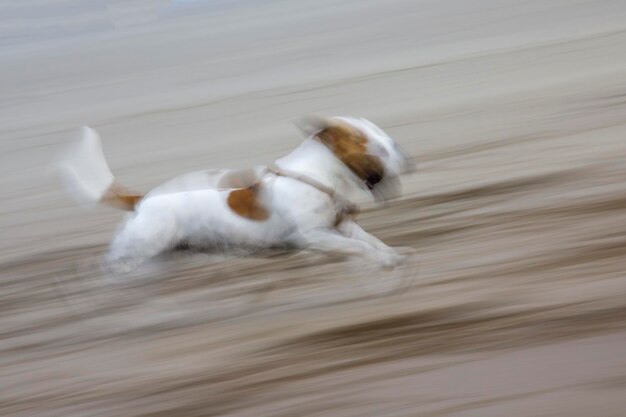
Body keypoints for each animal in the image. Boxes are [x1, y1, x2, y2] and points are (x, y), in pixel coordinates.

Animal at [59, 116, 414, 272]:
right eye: (378, 146)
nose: (407, 156)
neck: (314, 175)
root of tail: (142, 200)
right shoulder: (316, 235)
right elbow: (360, 248)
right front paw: (381, 260)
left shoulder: (342, 225)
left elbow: (369, 240)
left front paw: (392, 254)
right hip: (142, 246)